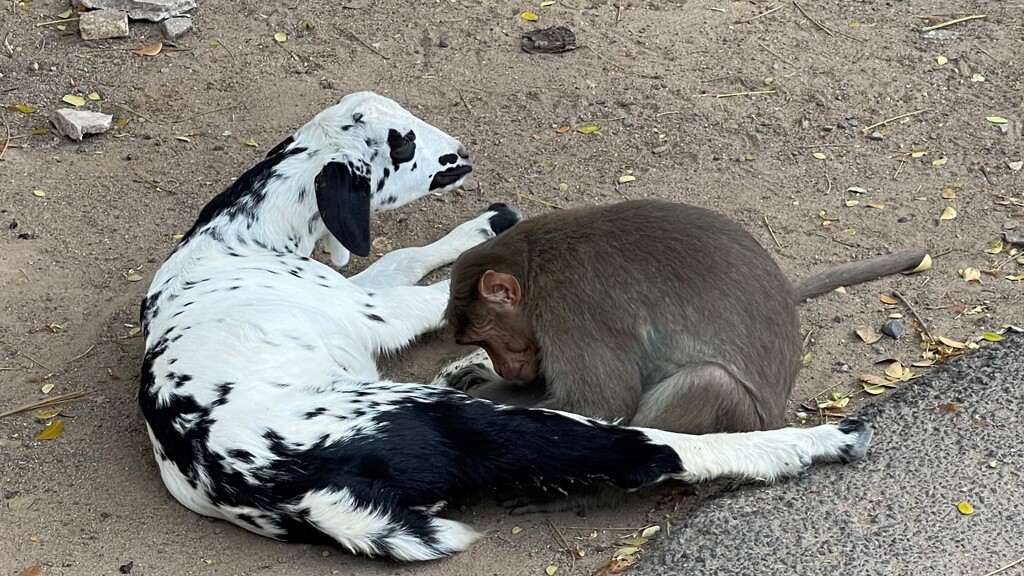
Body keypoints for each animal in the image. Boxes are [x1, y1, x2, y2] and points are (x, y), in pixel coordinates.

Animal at [134, 91, 872, 557]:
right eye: (400, 143)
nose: (460, 153)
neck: (244, 239)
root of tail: (297, 493)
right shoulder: (371, 312)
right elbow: (434, 293)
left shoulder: (360, 288)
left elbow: (405, 257)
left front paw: (488, 223)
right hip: (469, 424)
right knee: (647, 450)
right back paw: (821, 440)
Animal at [442, 196, 929, 430]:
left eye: (484, 332)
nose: (505, 365)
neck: (535, 268)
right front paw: (483, 385)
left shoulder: (573, 310)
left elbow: (597, 404)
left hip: (742, 420)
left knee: (708, 382)